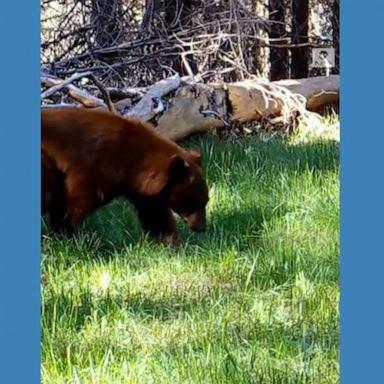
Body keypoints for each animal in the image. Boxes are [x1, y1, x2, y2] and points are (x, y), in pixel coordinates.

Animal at [41, 107, 208, 243]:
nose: (201, 228)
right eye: (192, 202)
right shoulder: (90, 169)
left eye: (205, 201)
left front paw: (171, 241)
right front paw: (68, 234)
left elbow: (155, 214)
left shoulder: (145, 189)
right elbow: (74, 204)